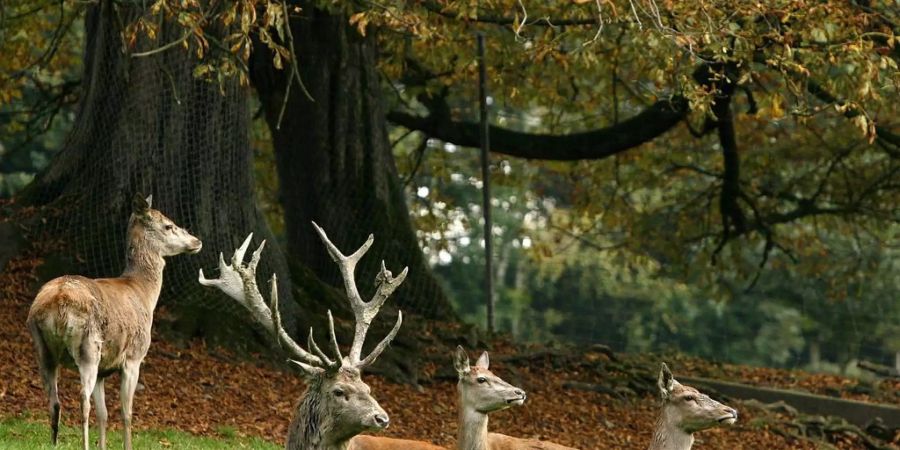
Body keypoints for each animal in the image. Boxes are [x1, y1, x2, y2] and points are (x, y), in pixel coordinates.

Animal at [26, 194, 202, 450]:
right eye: (168, 225)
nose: (196, 241)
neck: (142, 293)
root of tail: (57, 301)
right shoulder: (133, 358)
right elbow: (126, 413)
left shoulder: (104, 369)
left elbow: (104, 414)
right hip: (88, 346)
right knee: (82, 398)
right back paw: (84, 444)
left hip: (42, 346)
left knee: (54, 400)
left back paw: (54, 443)